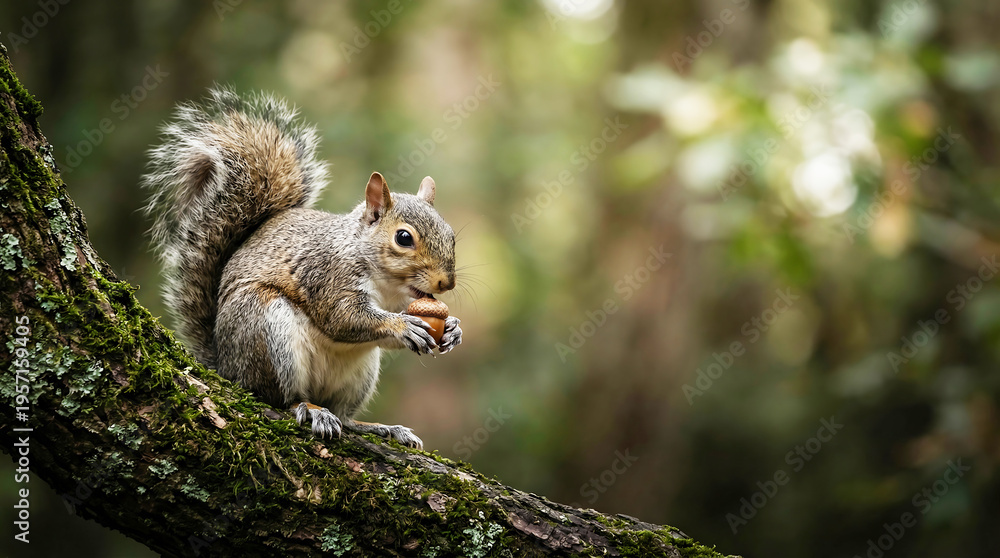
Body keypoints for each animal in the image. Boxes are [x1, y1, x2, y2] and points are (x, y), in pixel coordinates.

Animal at [142, 87, 462, 449]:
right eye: (404, 238)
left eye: (451, 234)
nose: (446, 283)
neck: (387, 287)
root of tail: (226, 365)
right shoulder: (326, 274)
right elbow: (344, 318)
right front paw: (402, 326)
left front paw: (453, 328)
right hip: (265, 329)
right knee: (279, 397)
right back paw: (310, 410)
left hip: (360, 374)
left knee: (345, 416)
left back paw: (379, 428)